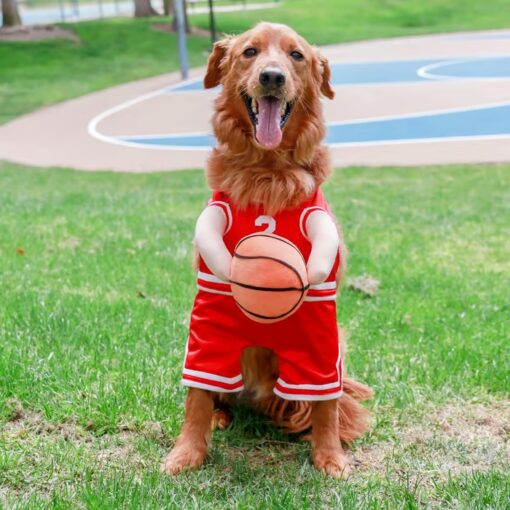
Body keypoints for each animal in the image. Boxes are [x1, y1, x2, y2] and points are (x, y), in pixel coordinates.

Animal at [162, 21, 370, 480]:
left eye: (296, 56)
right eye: (249, 52)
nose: (271, 77)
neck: (267, 172)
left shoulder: (319, 322)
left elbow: (326, 404)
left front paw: (329, 455)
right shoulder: (209, 314)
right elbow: (196, 395)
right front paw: (187, 452)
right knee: (215, 393)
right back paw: (220, 416)